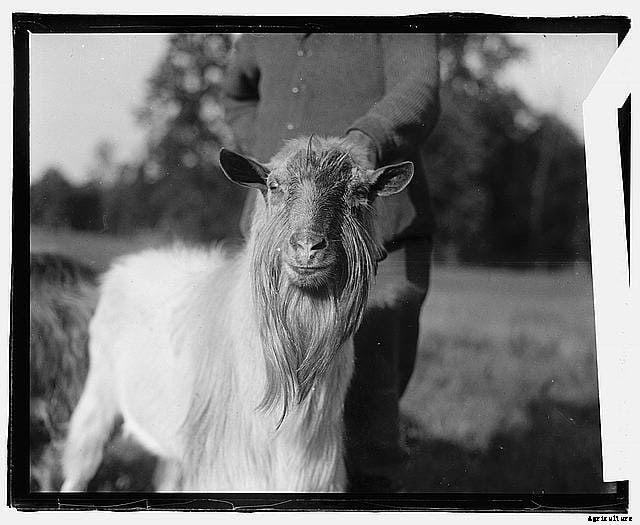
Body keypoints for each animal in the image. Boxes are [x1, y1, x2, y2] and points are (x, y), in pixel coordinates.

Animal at [61, 136, 414, 492]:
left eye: (360, 193)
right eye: (273, 186)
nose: (308, 247)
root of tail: (125, 266)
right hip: (100, 391)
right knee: (81, 459)